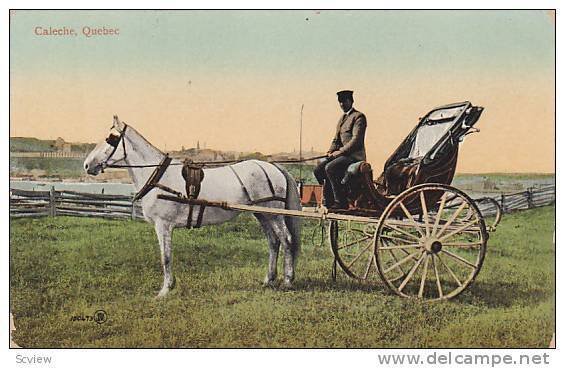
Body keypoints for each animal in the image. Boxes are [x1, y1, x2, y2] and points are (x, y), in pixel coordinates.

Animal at [83, 116, 300, 298]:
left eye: (111, 139)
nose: (87, 165)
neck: (158, 177)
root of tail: (273, 167)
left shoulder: (163, 225)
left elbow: (166, 257)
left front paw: (165, 290)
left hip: (274, 214)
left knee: (286, 240)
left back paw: (288, 281)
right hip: (262, 214)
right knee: (273, 242)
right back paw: (268, 280)